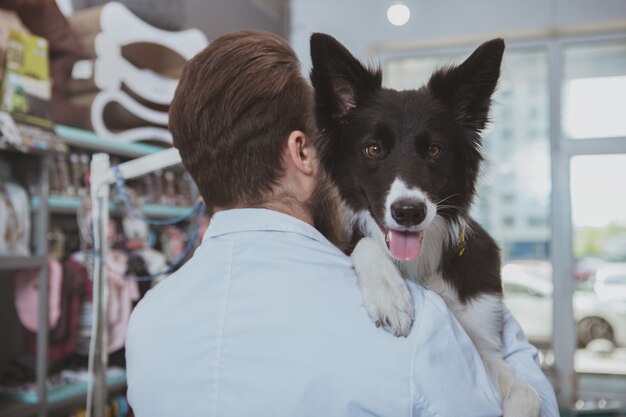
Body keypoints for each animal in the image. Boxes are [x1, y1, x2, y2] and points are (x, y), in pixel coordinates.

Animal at [310, 33, 540, 416]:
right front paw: (389, 295)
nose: (409, 212)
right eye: (373, 149)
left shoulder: (484, 339)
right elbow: (365, 243)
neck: (420, 262)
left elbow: (528, 393)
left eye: (434, 149)